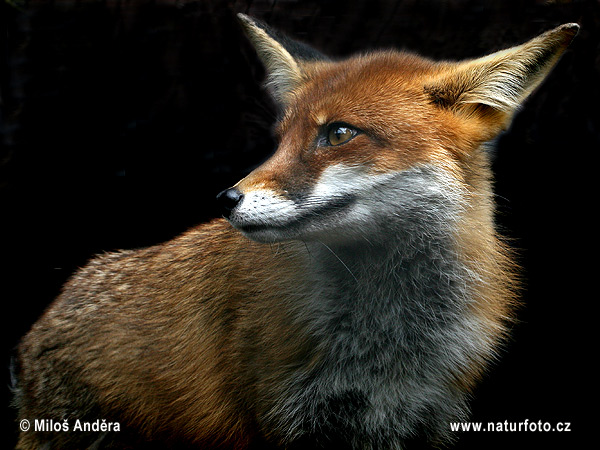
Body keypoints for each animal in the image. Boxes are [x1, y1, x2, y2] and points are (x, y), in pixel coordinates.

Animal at [12, 14, 576, 450]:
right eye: (281, 139)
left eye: (339, 133)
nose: (225, 200)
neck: (386, 343)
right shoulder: (281, 415)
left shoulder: (429, 415)